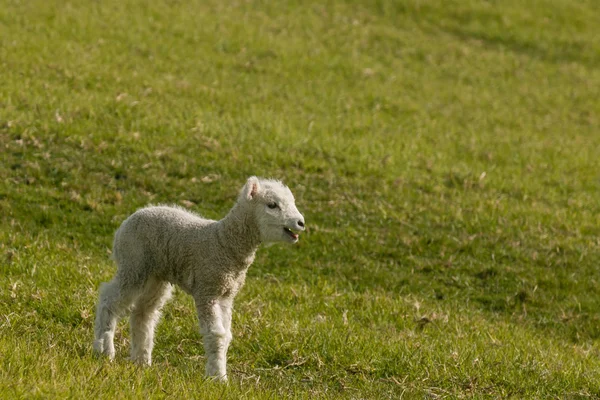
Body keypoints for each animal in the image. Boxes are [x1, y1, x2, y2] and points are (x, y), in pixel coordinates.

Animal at [92, 177, 304, 382]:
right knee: (109, 298)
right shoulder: (207, 289)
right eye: (272, 205)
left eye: (292, 202)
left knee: (143, 313)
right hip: (134, 263)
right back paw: (104, 350)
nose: (301, 222)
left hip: (155, 275)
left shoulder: (226, 295)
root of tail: (127, 221)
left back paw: (142, 361)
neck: (224, 242)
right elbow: (216, 335)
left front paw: (219, 373)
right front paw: (217, 377)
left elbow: (226, 336)